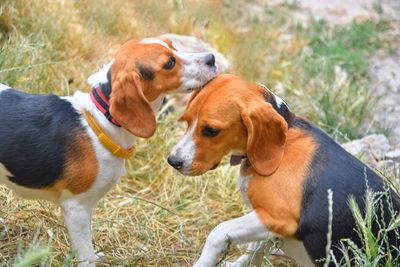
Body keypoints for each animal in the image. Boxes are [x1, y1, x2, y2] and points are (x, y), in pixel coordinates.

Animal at [0, 36, 217, 266]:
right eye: (169, 63)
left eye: (172, 45)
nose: (211, 58)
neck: (101, 119)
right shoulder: (76, 208)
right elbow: (86, 254)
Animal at [169, 75, 400, 267]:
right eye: (187, 120)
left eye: (211, 131)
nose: (173, 161)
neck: (286, 138)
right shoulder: (267, 224)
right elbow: (253, 251)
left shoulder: (277, 218)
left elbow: (218, 232)